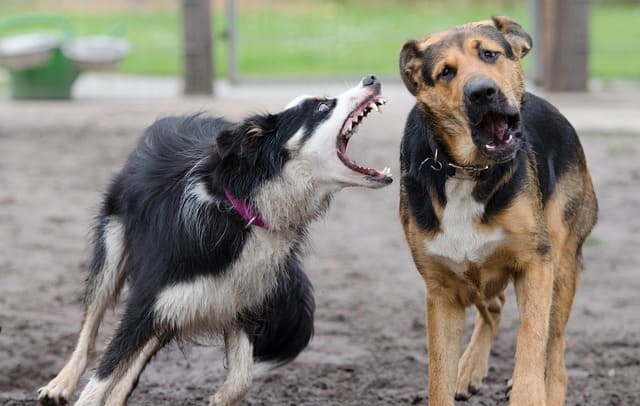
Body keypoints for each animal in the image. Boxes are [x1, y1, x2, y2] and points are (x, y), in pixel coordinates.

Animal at [40, 74, 392, 404]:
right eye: (322, 107)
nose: (372, 78)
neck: (245, 209)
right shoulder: (148, 300)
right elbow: (101, 378)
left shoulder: (237, 300)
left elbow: (241, 379)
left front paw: (218, 398)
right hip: (113, 248)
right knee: (91, 326)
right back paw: (60, 384)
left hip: (180, 306)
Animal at [398, 16, 596, 406]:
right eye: (445, 72)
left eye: (489, 54)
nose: (482, 92)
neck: (465, 170)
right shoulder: (442, 291)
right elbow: (438, 376)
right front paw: (456, 374)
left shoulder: (536, 262)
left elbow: (532, 340)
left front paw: (527, 391)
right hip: (476, 277)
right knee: (494, 306)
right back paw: (469, 369)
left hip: (561, 262)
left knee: (555, 348)